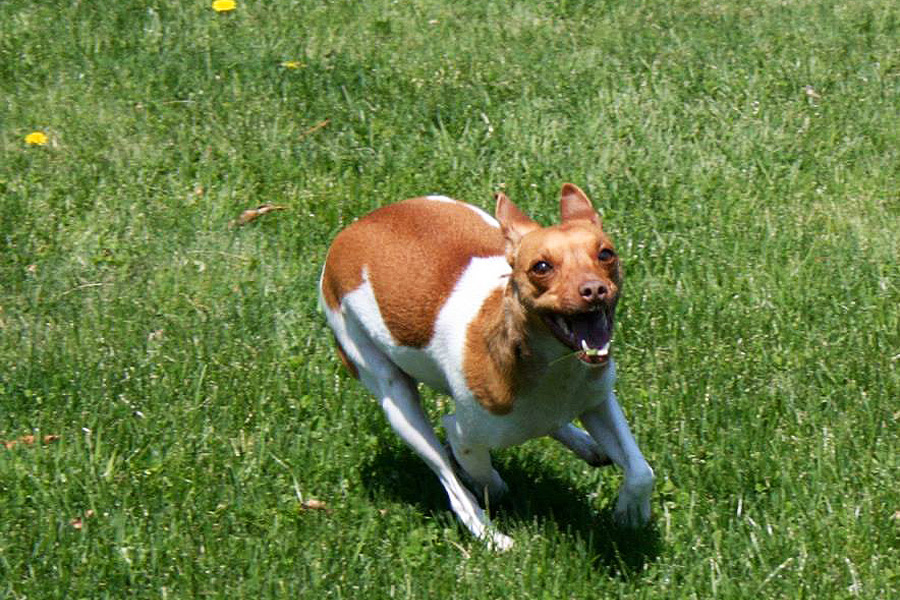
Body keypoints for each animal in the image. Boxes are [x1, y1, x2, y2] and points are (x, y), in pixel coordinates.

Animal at [320, 185, 652, 552]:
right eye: (541, 266)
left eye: (606, 254)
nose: (594, 289)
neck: (553, 369)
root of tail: (355, 228)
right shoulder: (462, 433)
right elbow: (477, 474)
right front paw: (488, 487)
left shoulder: (598, 399)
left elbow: (641, 471)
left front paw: (630, 513)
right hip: (395, 399)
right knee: (452, 485)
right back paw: (490, 534)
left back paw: (582, 442)